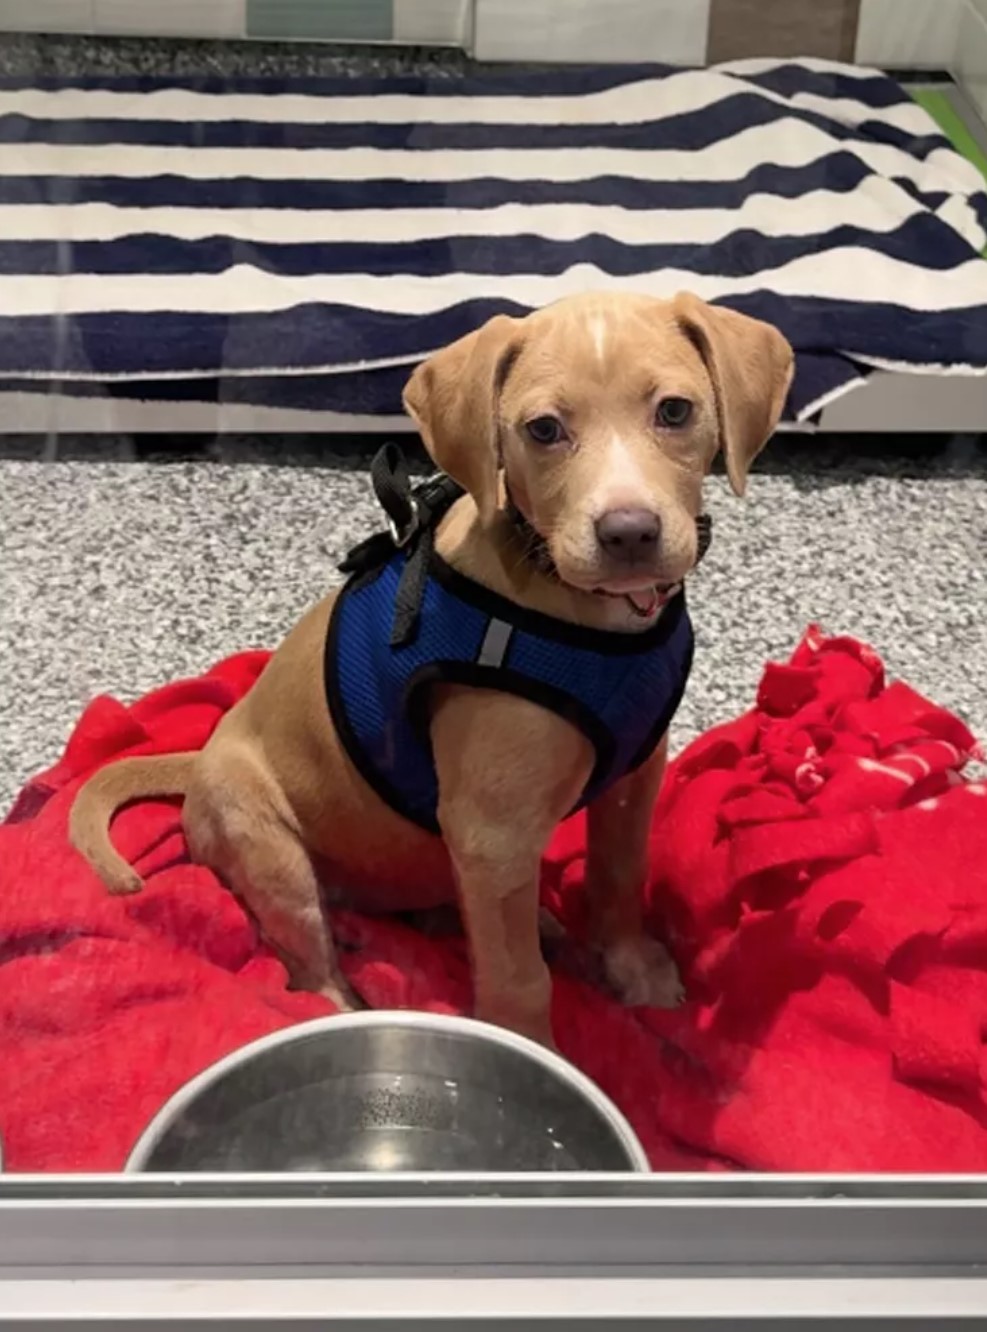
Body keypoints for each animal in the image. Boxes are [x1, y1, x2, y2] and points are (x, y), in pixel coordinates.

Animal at [69, 294, 793, 1049]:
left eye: (675, 411)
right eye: (543, 429)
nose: (628, 534)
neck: (589, 618)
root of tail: (200, 757)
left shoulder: (635, 774)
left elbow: (620, 876)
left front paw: (631, 969)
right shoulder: (490, 832)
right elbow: (518, 980)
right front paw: (534, 1049)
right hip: (271, 850)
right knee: (311, 966)